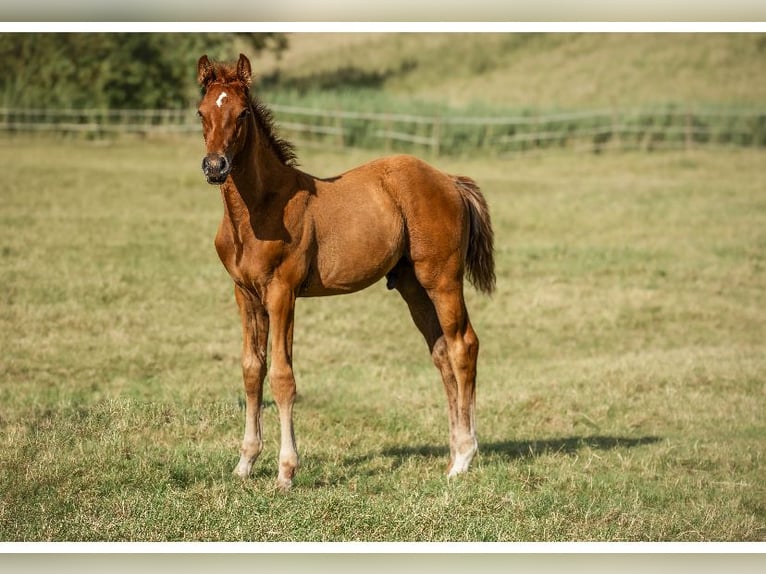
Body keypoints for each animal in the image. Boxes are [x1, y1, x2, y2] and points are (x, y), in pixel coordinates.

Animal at [196, 53, 495, 490]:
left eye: (242, 113)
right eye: (201, 112)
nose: (216, 166)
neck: (260, 210)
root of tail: (450, 181)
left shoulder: (282, 292)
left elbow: (282, 376)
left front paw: (286, 472)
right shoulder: (244, 293)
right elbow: (253, 370)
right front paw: (245, 463)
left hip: (441, 278)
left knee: (463, 345)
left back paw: (464, 459)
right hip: (411, 285)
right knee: (440, 351)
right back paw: (454, 452)